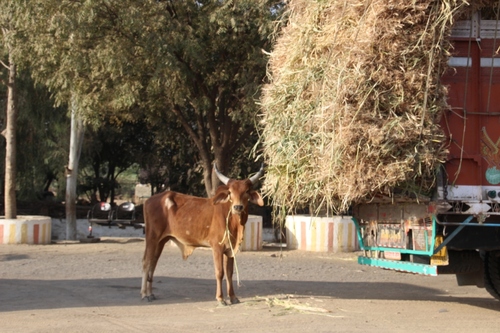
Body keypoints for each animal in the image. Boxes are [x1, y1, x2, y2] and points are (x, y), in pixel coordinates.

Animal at [141, 162, 266, 304]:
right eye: (230, 192)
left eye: (246, 192)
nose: (237, 207)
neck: (233, 221)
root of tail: (149, 200)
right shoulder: (217, 247)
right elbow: (220, 272)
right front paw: (220, 298)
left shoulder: (230, 249)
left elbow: (229, 273)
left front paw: (233, 297)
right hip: (152, 237)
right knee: (146, 262)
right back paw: (144, 294)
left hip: (161, 240)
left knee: (153, 263)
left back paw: (150, 294)